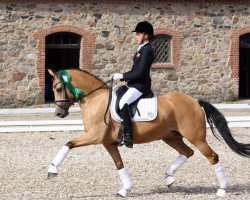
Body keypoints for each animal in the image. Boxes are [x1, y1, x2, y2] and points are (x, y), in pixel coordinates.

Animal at [46, 68, 249, 197]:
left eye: (58, 88)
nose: (59, 113)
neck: (95, 99)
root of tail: (194, 101)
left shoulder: (94, 137)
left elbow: (68, 144)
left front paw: (52, 169)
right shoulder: (108, 143)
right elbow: (119, 164)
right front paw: (125, 189)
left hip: (196, 137)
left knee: (212, 156)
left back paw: (222, 189)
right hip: (170, 137)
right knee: (187, 152)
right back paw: (169, 177)